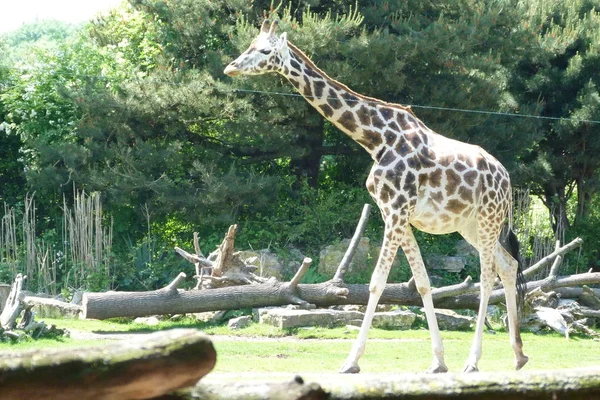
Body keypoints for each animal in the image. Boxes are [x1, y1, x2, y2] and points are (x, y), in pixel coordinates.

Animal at [223, 18, 528, 376]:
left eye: (264, 51)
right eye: (249, 45)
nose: (231, 67)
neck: (375, 139)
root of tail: (506, 178)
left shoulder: (396, 210)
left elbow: (377, 282)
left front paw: (351, 362)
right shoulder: (395, 213)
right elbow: (422, 282)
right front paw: (438, 362)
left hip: (487, 218)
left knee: (487, 275)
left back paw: (473, 362)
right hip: (468, 225)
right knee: (508, 265)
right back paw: (519, 355)